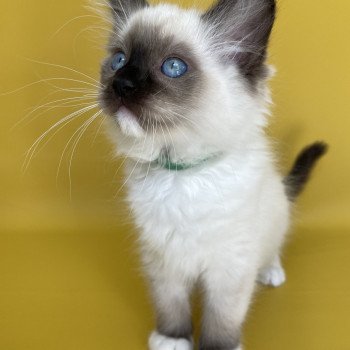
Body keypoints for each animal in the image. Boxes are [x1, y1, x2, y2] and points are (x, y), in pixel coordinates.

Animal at [98, 0, 326, 350]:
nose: (121, 85)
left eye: (173, 67)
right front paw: (172, 338)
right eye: (119, 60)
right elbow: (171, 304)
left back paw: (271, 273)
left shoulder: (230, 267)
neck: (181, 174)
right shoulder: (163, 260)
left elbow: (221, 317)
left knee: (273, 248)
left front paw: (216, 345)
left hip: (275, 222)